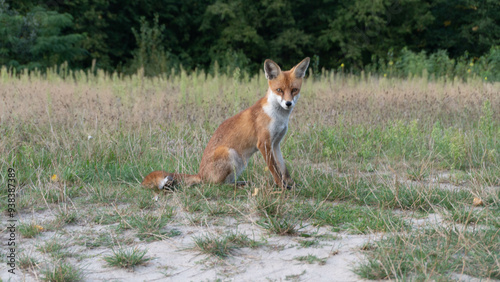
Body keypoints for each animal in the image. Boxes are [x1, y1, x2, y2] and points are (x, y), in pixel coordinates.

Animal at [141, 56, 310, 195]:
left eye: (294, 90)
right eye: (279, 90)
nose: (288, 103)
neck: (277, 117)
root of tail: (200, 174)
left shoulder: (275, 144)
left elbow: (283, 168)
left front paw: (291, 185)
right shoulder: (264, 144)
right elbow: (275, 170)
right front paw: (282, 188)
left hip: (240, 163)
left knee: (228, 182)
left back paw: (244, 184)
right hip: (231, 154)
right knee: (218, 185)